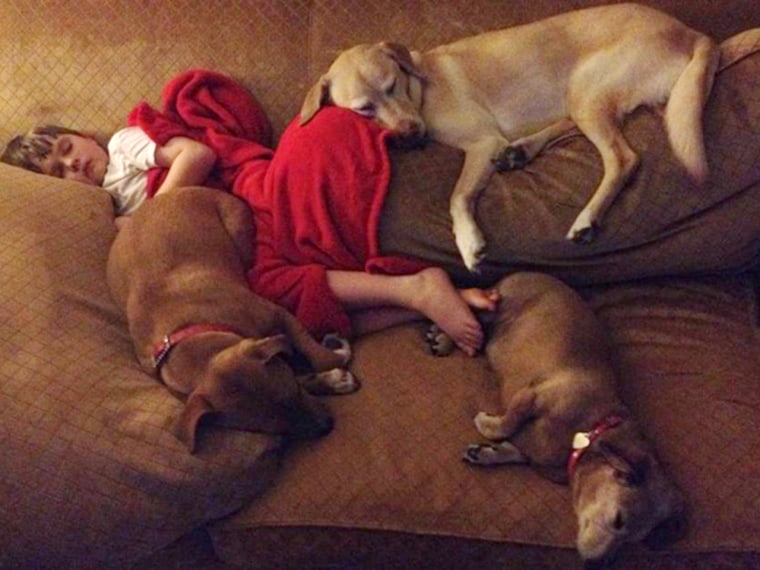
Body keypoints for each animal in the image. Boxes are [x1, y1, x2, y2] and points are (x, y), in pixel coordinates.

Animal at [105, 187, 358, 452]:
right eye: (269, 431)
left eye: (294, 392)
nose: (327, 426)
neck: (190, 331)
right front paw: (330, 379)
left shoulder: (279, 314)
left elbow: (314, 352)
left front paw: (335, 359)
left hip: (238, 233)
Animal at [302, 2, 720, 270]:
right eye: (363, 109)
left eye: (393, 86)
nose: (410, 133)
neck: (422, 87)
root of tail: (691, 33)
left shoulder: (483, 143)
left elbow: (457, 196)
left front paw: (469, 243)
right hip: (587, 97)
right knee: (573, 127)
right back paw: (521, 151)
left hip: (588, 90)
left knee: (623, 158)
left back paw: (587, 219)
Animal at [460, 272, 684, 564]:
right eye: (618, 520)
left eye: (633, 542)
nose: (596, 565)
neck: (590, 431)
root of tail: (522, 274)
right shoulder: (532, 396)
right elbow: (508, 422)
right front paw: (488, 425)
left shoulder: (531, 448)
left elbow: (513, 449)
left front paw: (487, 453)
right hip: (492, 310)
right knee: (468, 314)